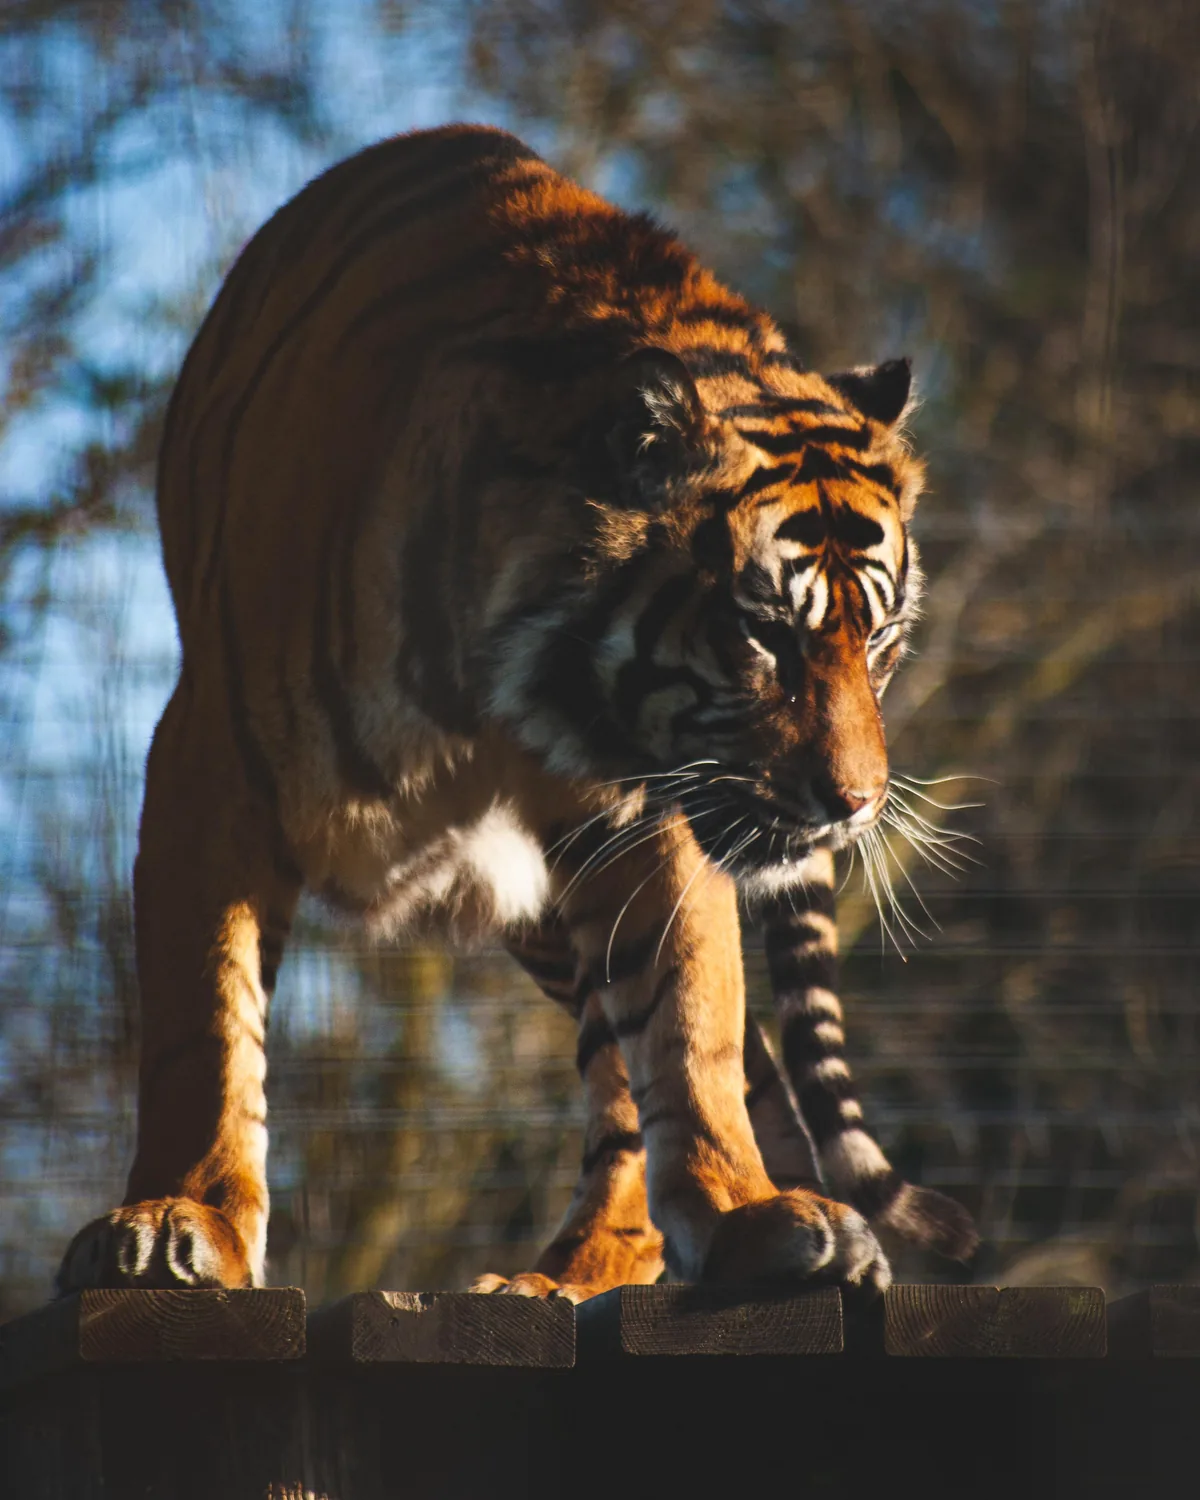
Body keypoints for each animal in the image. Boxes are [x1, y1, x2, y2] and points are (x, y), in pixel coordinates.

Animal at [57, 123, 976, 1301]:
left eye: (883, 641)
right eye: (766, 633)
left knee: (630, 1086)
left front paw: (751, 1213)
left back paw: (567, 1279)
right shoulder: (211, 758)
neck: (502, 699)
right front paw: (179, 1219)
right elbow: (202, 1024)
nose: (854, 805)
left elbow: (694, 1023)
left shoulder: (646, 813)